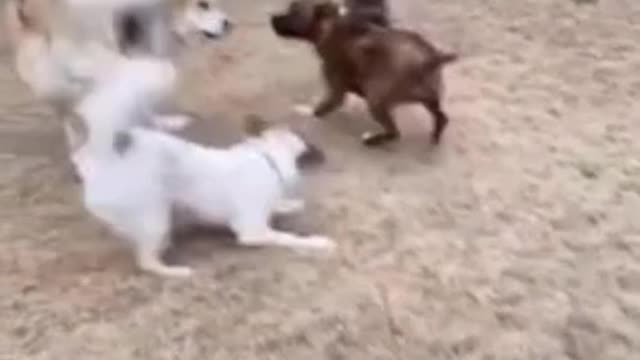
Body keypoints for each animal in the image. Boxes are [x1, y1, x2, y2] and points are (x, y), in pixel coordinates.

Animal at [270, 0, 456, 146]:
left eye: (294, 12)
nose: (272, 18)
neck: (329, 25)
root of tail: (431, 58)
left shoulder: (336, 91)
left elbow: (320, 108)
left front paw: (307, 112)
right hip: (429, 99)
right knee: (441, 118)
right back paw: (435, 137)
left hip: (376, 98)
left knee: (395, 132)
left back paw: (372, 140)